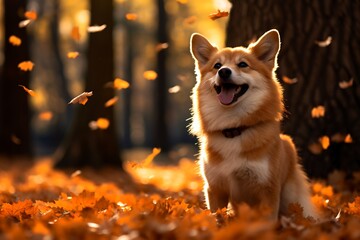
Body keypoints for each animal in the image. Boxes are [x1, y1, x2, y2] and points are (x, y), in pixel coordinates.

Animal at [188, 28, 318, 219]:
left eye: (243, 64)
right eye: (217, 66)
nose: (224, 72)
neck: (234, 129)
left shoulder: (268, 189)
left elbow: (266, 222)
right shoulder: (215, 188)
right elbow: (217, 218)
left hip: (290, 198)